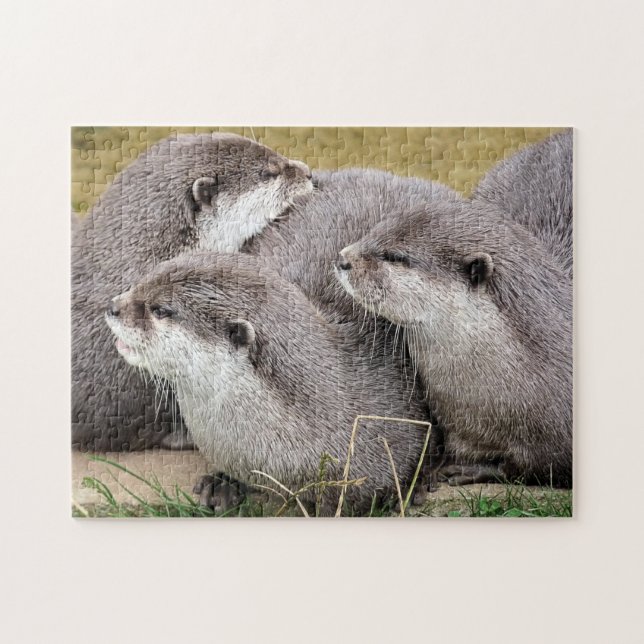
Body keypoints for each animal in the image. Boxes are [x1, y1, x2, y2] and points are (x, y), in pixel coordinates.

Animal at [335, 199, 572, 487]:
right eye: (374, 230)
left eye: (395, 257)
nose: (343, 259)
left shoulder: (553, 443)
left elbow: (530, 467)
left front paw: (469, 470)